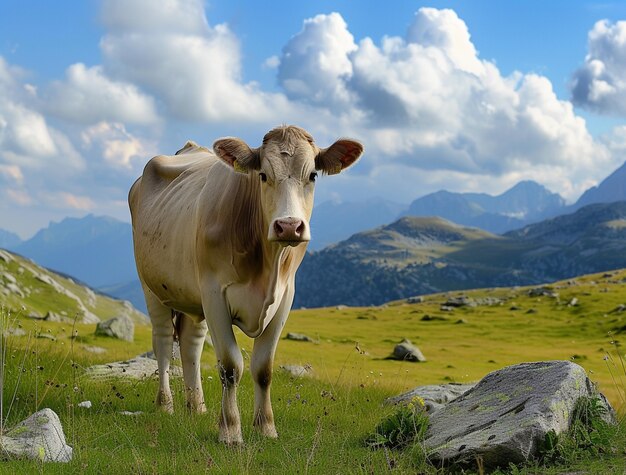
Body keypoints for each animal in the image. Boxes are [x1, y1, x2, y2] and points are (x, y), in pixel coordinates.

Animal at [127, 124, 360, 444]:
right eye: (262, 175)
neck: (266, 270)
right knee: (162, 341)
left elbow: (263, 368)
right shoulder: (214, 293)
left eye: (312, 175)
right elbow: (230, 366)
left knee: (190, 344)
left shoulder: (285, 298)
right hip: (150, 285)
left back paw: (196, 405)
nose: (289, 226)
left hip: (192, 295)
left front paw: (266, 427)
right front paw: (230, 430)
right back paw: (166, 405)